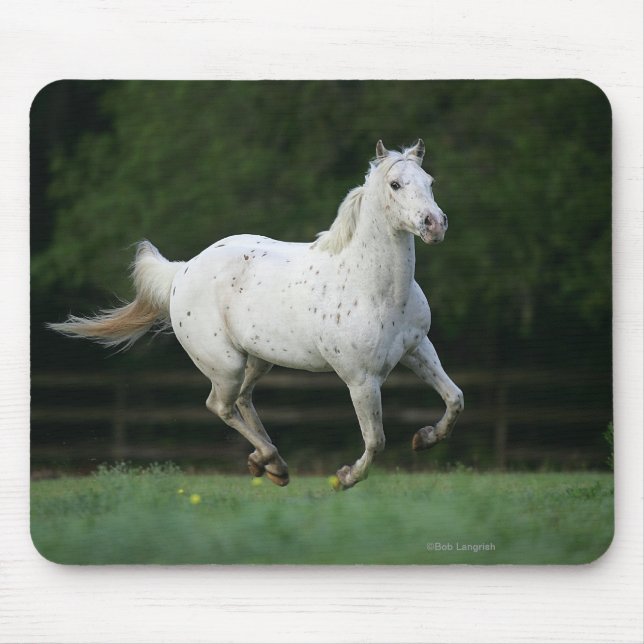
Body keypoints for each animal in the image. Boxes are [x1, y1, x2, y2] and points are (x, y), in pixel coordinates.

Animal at [49, 139, 464, 490]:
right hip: (226, 364)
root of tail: (183, 271)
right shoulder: (361, 379)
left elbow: (454, 398)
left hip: (258, 359)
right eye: (395, 184)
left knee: (243, 400)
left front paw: (424, 438)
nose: (435, 224)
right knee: (220, 404)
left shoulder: (417, 349)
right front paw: (344, 478)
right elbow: (376, 439)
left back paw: (269, 464)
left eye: (429, 181)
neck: (372, 287)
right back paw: (271, 461)